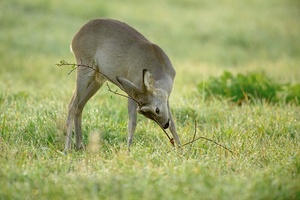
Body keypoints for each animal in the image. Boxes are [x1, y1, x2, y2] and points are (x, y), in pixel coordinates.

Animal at [65, 18, 180, 152]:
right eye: (146, 113)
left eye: (155, 110)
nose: (164, 125)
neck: (159, 67)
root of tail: (75, 36)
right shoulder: (132, 94)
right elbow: (132, 123)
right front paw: (128, 150)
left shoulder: (166, 99)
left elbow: (173, 124)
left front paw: (181, 149)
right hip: (84, 72)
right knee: (72, 105)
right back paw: (67, 149)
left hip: (96, 81)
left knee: (79, 106)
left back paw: (79, 146)